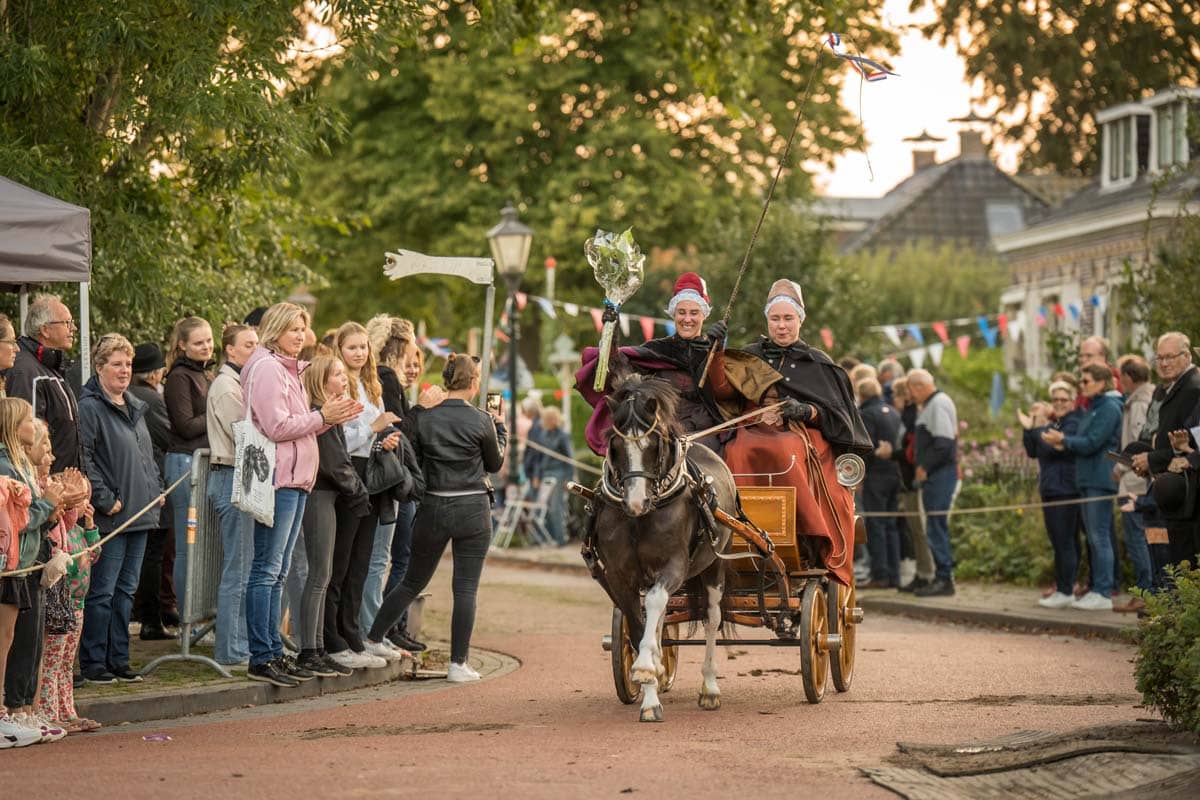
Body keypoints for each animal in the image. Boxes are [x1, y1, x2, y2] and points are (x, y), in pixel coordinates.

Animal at [592, 371, 734, 724]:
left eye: (652, 443)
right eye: (615, 445)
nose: (636, 502)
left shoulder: (673, 567)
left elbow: (656, 603)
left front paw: (645, 669)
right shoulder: (619, 576)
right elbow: (639, 624)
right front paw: (650, 688)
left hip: (714, 567)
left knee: (712, 618)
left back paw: (710, 689)